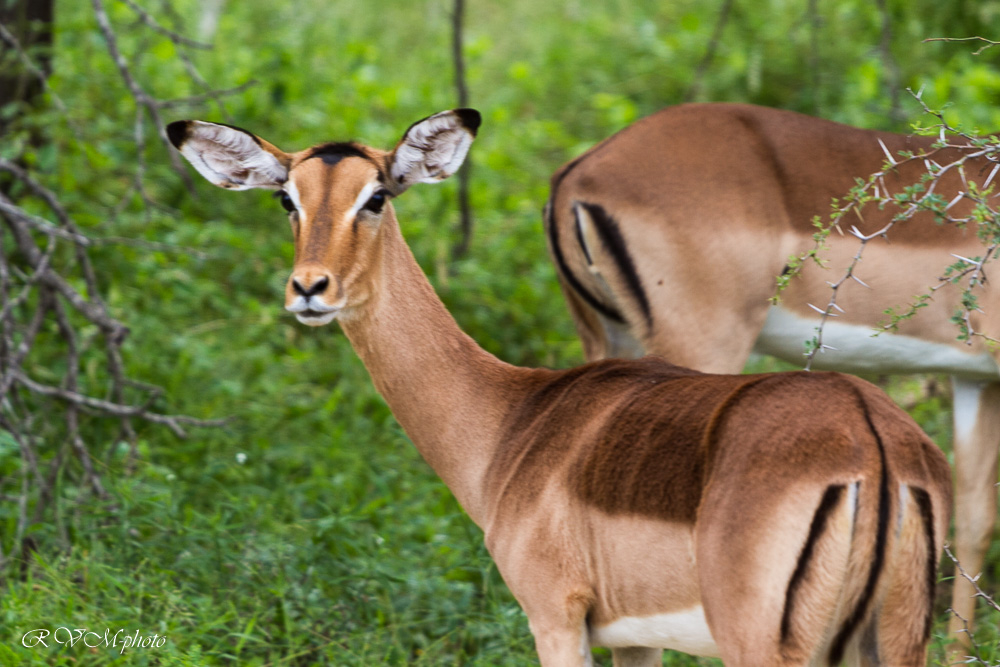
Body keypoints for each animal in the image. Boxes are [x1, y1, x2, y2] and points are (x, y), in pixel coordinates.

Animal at [168, 109, 952, 666]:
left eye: (377, 196)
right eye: (287, 199)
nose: (310, 289)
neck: (512, 420)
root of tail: (872, 441)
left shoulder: (553, 618)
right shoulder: (637, 641)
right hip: (893, 643)